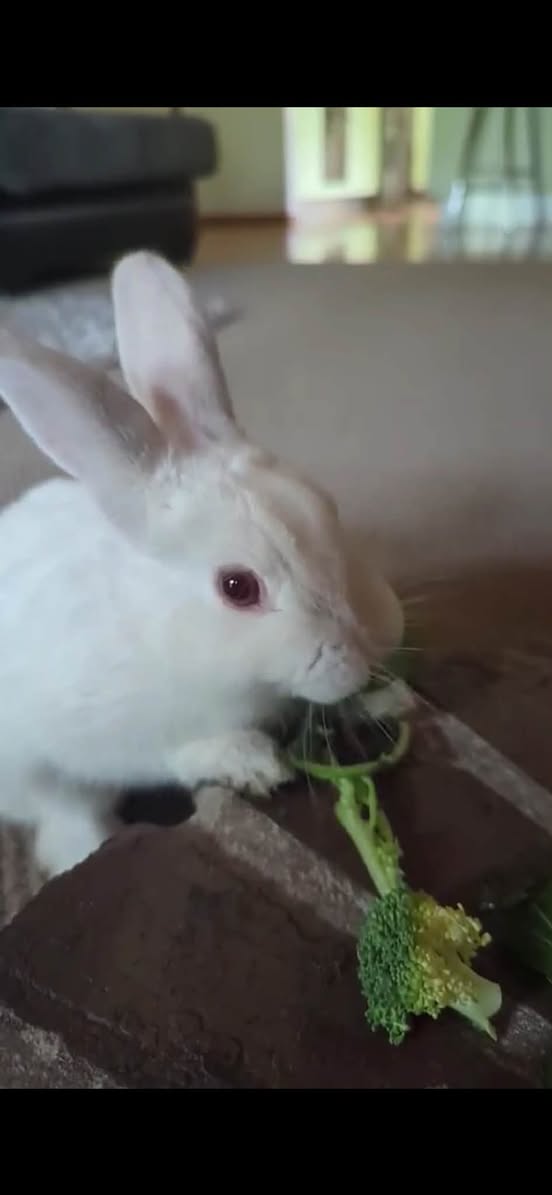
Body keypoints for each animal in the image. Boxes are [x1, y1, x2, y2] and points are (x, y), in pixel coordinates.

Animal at [0, 250, 404, 879]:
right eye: (238, 587)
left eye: (328, 506)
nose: (380, 638)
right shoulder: (107, 733)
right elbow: (164, 754)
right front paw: (250, 762)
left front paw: (392, 696)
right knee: (61, 816)